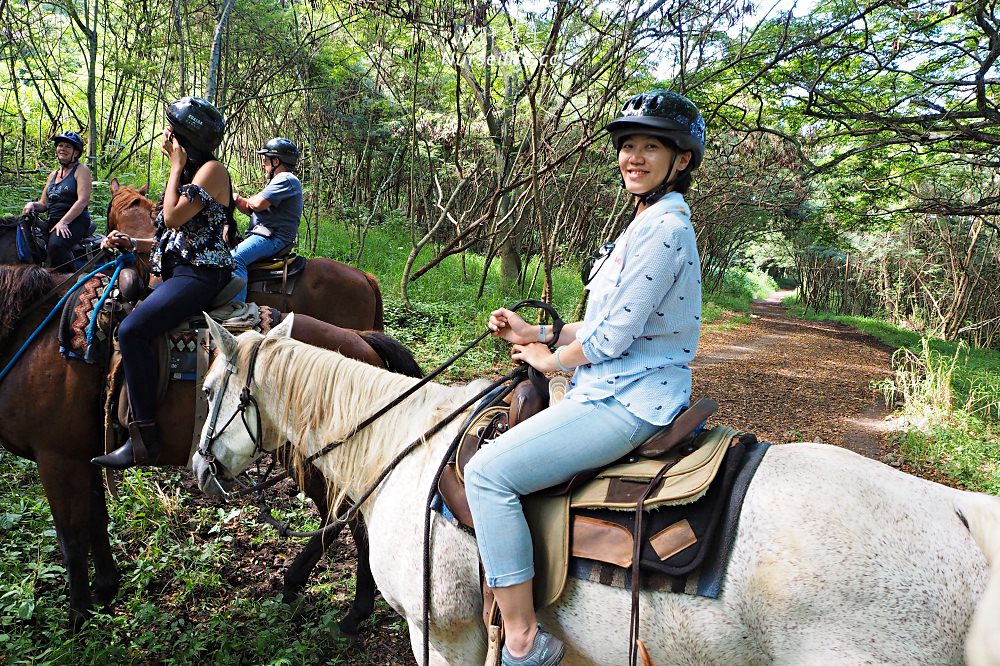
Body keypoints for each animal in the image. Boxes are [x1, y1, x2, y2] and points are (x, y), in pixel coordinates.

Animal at [0, 262, 420, 632]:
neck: (37, 337)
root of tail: (360, 340)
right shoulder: (82, 455)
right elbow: (96, 522)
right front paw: (104, 591)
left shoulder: (57, 458)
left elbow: (71, 539)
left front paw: (78, 618)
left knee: (350, 519)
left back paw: (347, 606)